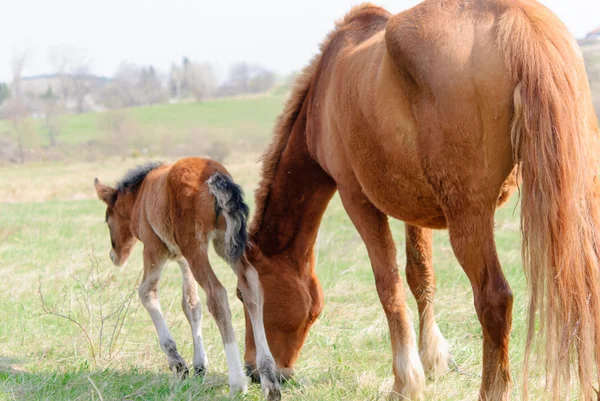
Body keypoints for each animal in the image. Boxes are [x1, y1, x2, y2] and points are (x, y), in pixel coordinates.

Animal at [241, 0, 600, 400]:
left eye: (243, 295)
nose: (254, 370)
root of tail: (514, 19)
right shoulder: (414, 208)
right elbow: (420, 276)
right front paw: (432, 360)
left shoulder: (356, 199)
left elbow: (388, 285)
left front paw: (405, 380)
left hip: (469, 219)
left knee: (494, 299)